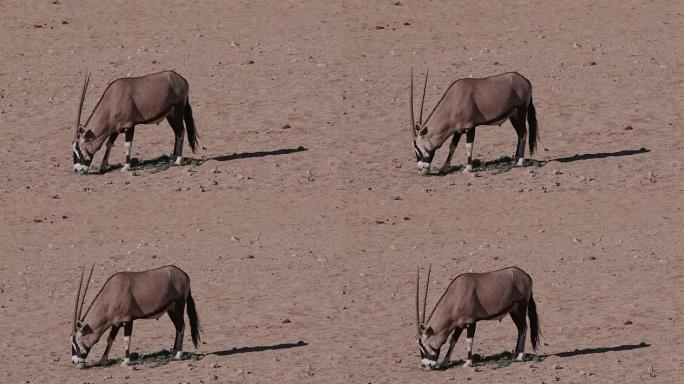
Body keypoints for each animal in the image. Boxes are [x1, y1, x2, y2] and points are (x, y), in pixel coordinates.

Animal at [70, 264, 202, 366]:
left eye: (76, 341)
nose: (74, 361)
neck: (112, 294)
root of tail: (184, 274)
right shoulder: (116, 323)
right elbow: (110, 339)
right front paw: (103, 360)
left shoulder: (128, 320)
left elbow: (126, 339)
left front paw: (126, 361)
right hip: (171, 309)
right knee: (177, 327)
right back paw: (174, 352)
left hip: (179, 305)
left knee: (181, 326)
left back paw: (178, 355)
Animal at [408, 70, 536, 175]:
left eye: (417, 147)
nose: (420, 167)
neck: (453, 102)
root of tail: (526, 81)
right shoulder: (457, 130)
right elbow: (452, 146)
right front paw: (444, 168)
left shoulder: (470, 127)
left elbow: (469, 146)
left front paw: (468, 168)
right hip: (513, 116)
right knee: (519, 134)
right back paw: (516, 159)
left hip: (521, 111)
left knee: (523, 133)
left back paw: (520, 161)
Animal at [414, 268, 544, 368]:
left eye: (424, 345)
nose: (424, 364)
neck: (456, 297)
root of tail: (526, 275)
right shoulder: (459, 325)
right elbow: (453, 341)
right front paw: (445, 362)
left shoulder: (471, 322)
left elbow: (469, 341)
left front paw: (468, 362)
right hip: (513, 311)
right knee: (520, 329)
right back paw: (515, 354)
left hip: (521, 307)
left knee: (524, 328)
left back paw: (520, 356)